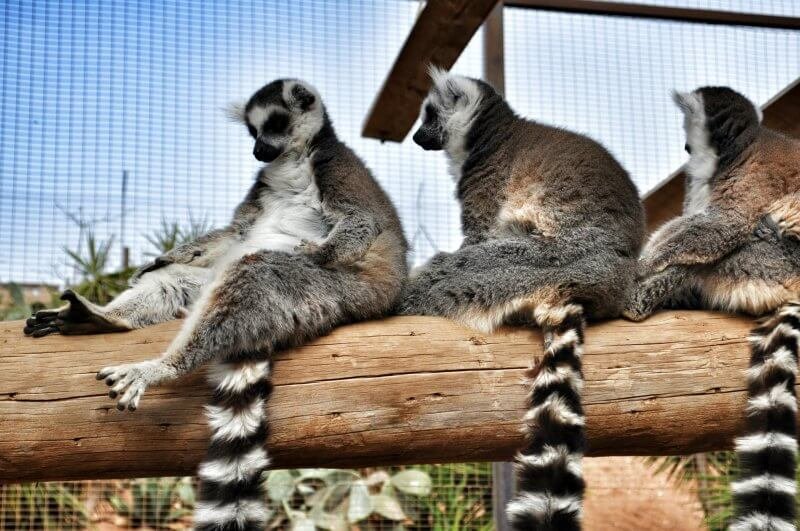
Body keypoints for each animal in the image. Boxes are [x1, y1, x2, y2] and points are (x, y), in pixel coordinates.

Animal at [25, 79, 408, 531]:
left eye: (272, 125)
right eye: (251, 132)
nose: (258, 151)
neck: (293, 159)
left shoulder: (337, 167)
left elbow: (361, 221)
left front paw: (314, 249)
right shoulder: (259, 192)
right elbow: (233, 232)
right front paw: (161, 258)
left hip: (330, 291)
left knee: (255, 272)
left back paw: (163, 366)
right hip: (209, 281)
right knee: (180, 280)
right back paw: (103, 318)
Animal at [397, 67, 645, 531]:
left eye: (428, 115)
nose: (418, 137)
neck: (490, 133)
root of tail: (605, 282)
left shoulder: (488, 184)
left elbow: (477, 239)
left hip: (549, 259)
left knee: (465, 270)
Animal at [625, 86, 800, 531]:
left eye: (691, 130)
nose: (687, 147)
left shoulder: (753, 175)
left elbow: (725, 225)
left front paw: (642, 265)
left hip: (776, 264)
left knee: (720, 256)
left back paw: (637, 301)